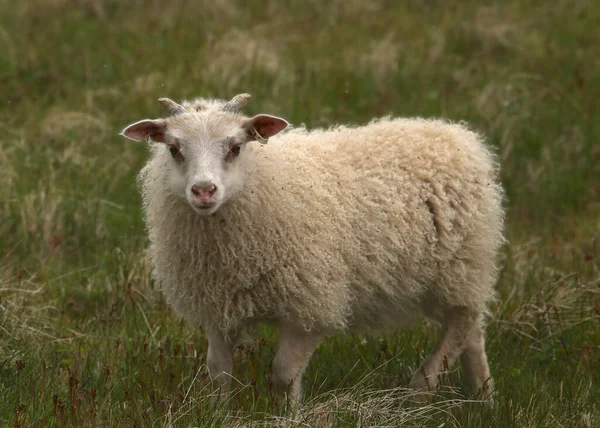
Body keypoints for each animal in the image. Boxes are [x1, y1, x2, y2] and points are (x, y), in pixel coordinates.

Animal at [120, 92, 506, 406]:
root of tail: (456, 134)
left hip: (463, 265)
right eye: (173, 149)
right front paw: (219, 413)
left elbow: (283, 373)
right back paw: (483, 398)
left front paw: (288, 416)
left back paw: (422, 387)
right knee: (472, 334)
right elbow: (219, 372)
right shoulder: (218, 303)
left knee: (462, 323)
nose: (203, 191)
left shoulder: (309, 305)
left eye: (235, 147)